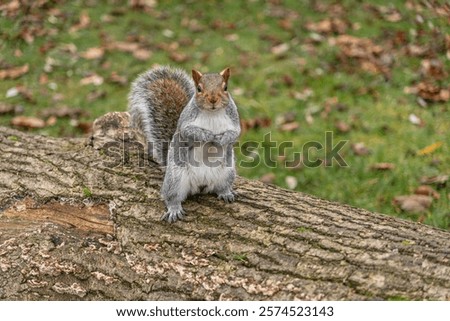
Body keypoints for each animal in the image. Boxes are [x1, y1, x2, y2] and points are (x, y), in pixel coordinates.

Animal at [127, 64, 239, 220]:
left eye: (225, 87)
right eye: (199, 89)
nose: (213, 100)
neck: (212, 113)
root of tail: (201, 185)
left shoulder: (234, 119)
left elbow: (235, 133)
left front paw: (222, 139)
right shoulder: (185, 122)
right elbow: (189, 131)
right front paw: (207, 135)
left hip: (227, 172)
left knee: (221, 186)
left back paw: (226, 193)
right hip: (176, 178)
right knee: (171, 196)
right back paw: (174, 208)